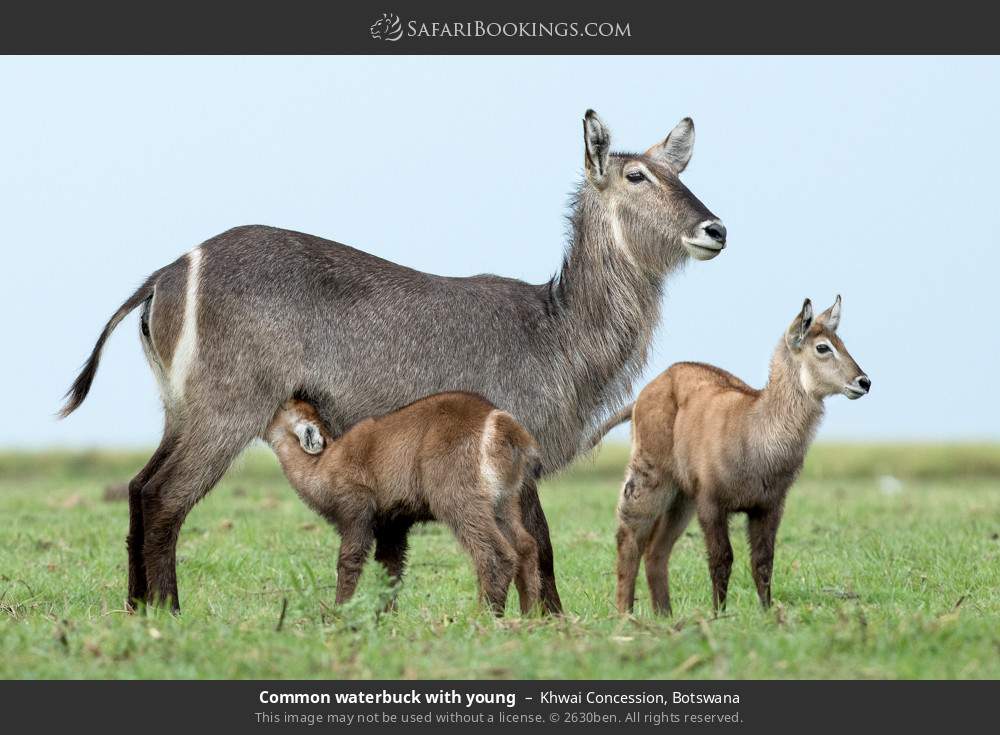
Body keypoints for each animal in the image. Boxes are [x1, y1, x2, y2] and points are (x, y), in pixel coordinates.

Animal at [608, 298, 868, 616]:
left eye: (841, 342)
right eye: (822, 347)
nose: (864, 382)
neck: (757, 431)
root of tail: (646, 391)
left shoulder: (768, 507)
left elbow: (763, 562)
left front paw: (766, 612)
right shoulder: (712, 504)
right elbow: (722, 559)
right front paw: (719, 614)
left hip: (682, 499)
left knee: (656, 549)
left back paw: (664, 615)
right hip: (652, 478)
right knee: (629, 538)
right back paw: (625, 613)